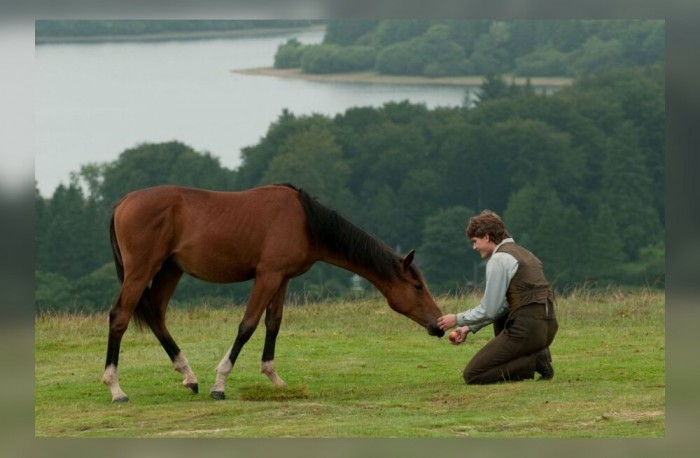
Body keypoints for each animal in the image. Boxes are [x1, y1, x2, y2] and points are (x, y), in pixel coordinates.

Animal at [102, 184, 442, 402]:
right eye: (417, 287)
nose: (439, 325)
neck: (304, 221)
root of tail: (122, 203)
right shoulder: (267, 276)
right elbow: (248, 325)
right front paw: (220, 383)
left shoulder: (282, 279)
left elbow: (273, 324)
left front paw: (274, 377)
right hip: (141, 271)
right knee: (120, 317)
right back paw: (115, 388)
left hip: (170, 270)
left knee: (156, 316)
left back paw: (189, 376)